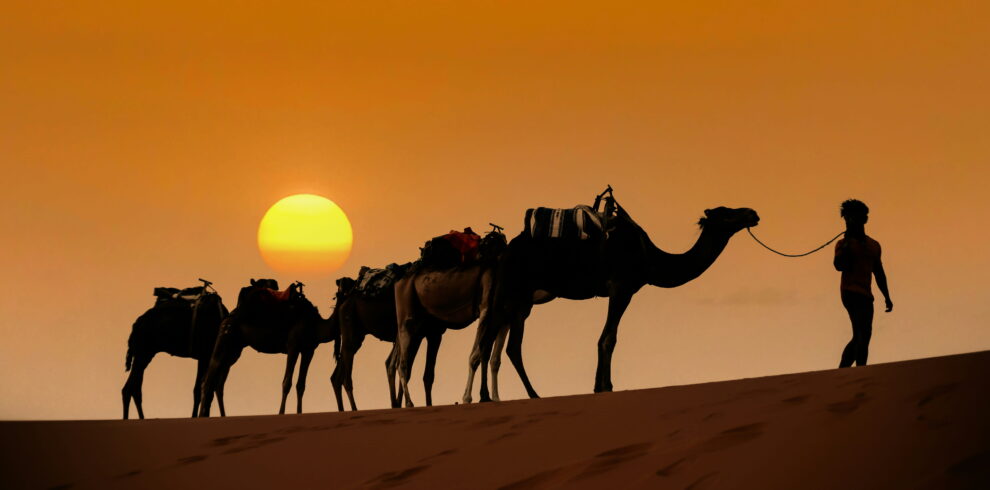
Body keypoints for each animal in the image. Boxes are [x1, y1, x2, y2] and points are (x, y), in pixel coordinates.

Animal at [122, 283, 229, 419]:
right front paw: (195, 417)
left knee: (135, 388)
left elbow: (206, 390)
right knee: (128, 389)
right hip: (143, 352)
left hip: (145, 354)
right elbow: (200, 390)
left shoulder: (208, 358)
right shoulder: (204, 355)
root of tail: (136, 324)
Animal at [197, 279, 334, 417]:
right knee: (207, 379)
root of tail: (229, 315)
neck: (315, 323)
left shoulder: (309, 350)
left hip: (234, 349)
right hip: (225, 335)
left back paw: (223, 415)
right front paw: (281, 413)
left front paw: (299, 413)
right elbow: (286, 383)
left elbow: (301, 385)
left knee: (219, 384)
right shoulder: (293, 346)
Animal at [473, 197, 760, 402]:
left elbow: (605, 338)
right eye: (727, 212)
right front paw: (605, 387)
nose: (753, 213)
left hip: (520, 299)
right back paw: (500, 396)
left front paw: (598, 386)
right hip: (512, 290)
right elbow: (609, 338)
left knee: (504, 345)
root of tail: (505, 249)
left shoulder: (620, 289)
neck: (650, 258)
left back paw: (513, 395)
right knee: (495, 341)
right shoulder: (622, 288)